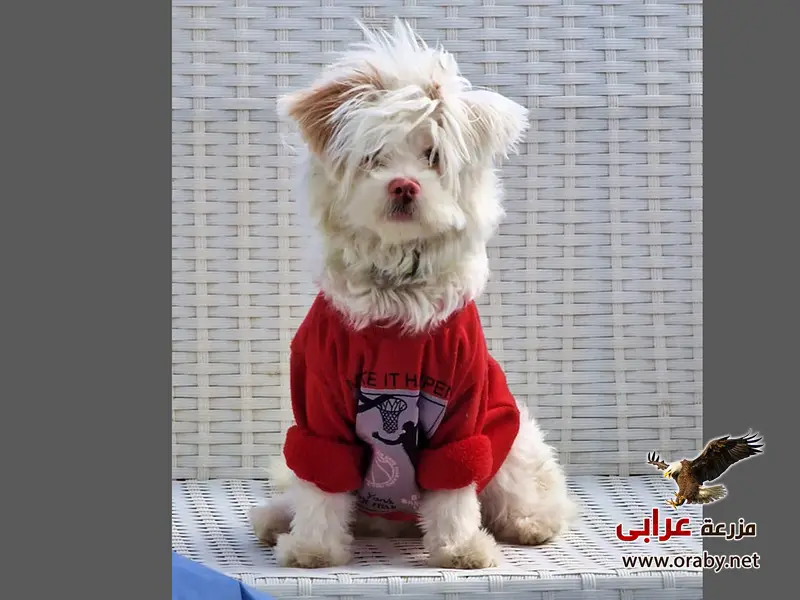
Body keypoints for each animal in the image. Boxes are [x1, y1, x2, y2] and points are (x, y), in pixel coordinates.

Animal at [249, 19, 577, 570]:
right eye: (373, 157)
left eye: (433, 157)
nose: (404, 185)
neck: (395, 290)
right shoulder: (318, 403)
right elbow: (321, 482)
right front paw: (313, 548)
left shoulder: (463, 408)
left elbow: (453, 485)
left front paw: (461, 548)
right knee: (298, 490)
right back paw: (274, 521)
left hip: (513, 442)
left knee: (521, 488)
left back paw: (530, 523)